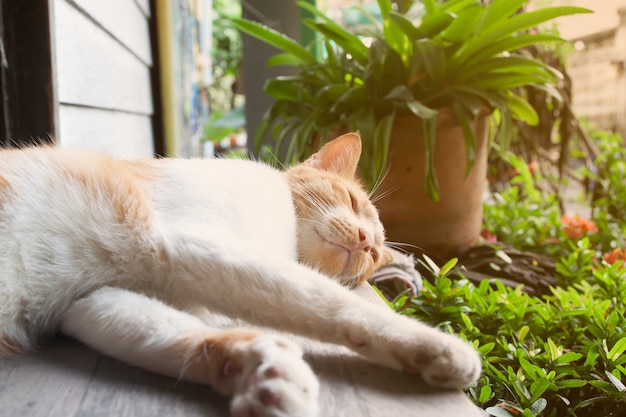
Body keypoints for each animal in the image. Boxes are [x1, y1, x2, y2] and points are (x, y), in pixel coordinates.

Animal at [0, 133, 478, 416]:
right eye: (352, 202)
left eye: (375, 255)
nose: (364, 241)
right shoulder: (189, 244)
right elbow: (330, 303)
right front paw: (437, 346)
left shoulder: (92, 303)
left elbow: (176, 337)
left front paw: (257, 366)